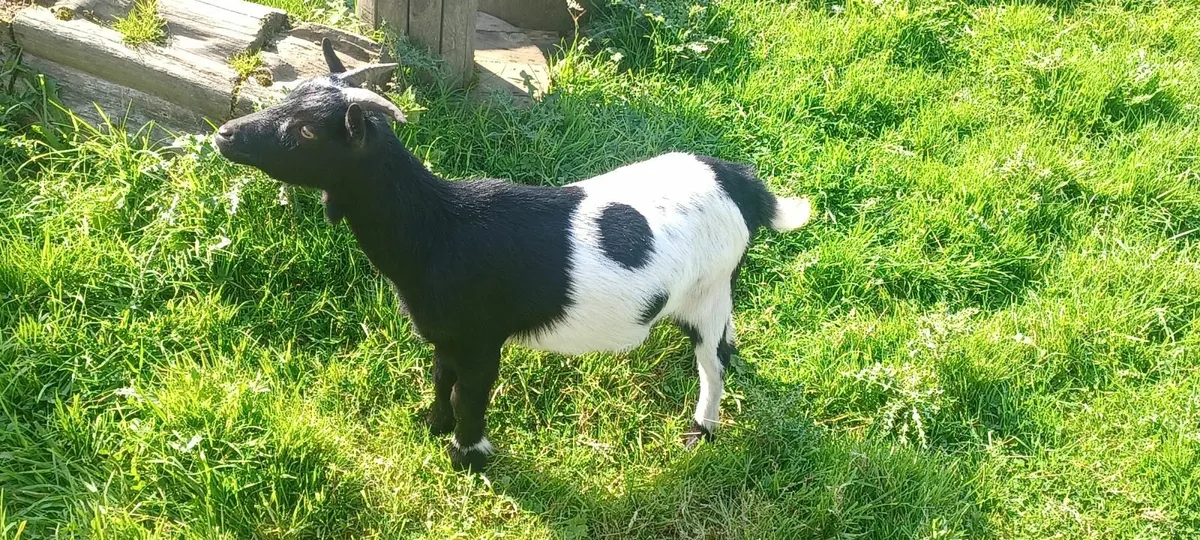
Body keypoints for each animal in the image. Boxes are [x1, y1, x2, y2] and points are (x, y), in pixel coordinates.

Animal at [213, 40, 813, 472]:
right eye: (288, 98)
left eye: (306, 131)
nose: (223, 135)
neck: (438, 229)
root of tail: (738, 181)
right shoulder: (446, 333)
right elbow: (442, 378)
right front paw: (432, 426)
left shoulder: (482, 338)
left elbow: (470, 393)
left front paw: (468, 456)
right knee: (729, 344)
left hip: (708, 290)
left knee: (714, 361)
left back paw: (699, 431)